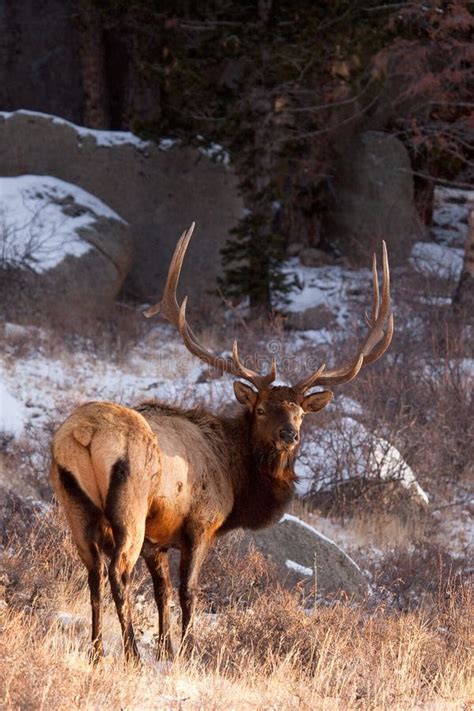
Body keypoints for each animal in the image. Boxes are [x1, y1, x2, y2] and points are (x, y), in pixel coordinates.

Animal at [50, 225, 394, 664]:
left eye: (301, 413)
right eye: (261, 409)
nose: (289, 435)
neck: (236, 476)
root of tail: (85, 434)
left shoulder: (158, 540)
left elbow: (161, 593)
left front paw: (166, 648)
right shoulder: (200, 522)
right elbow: (188, 591)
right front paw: (187, 649)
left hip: (74, 502)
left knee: (93, 571)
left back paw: (96, 651)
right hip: (130, 505)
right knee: (117, 573)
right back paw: (130, 654)